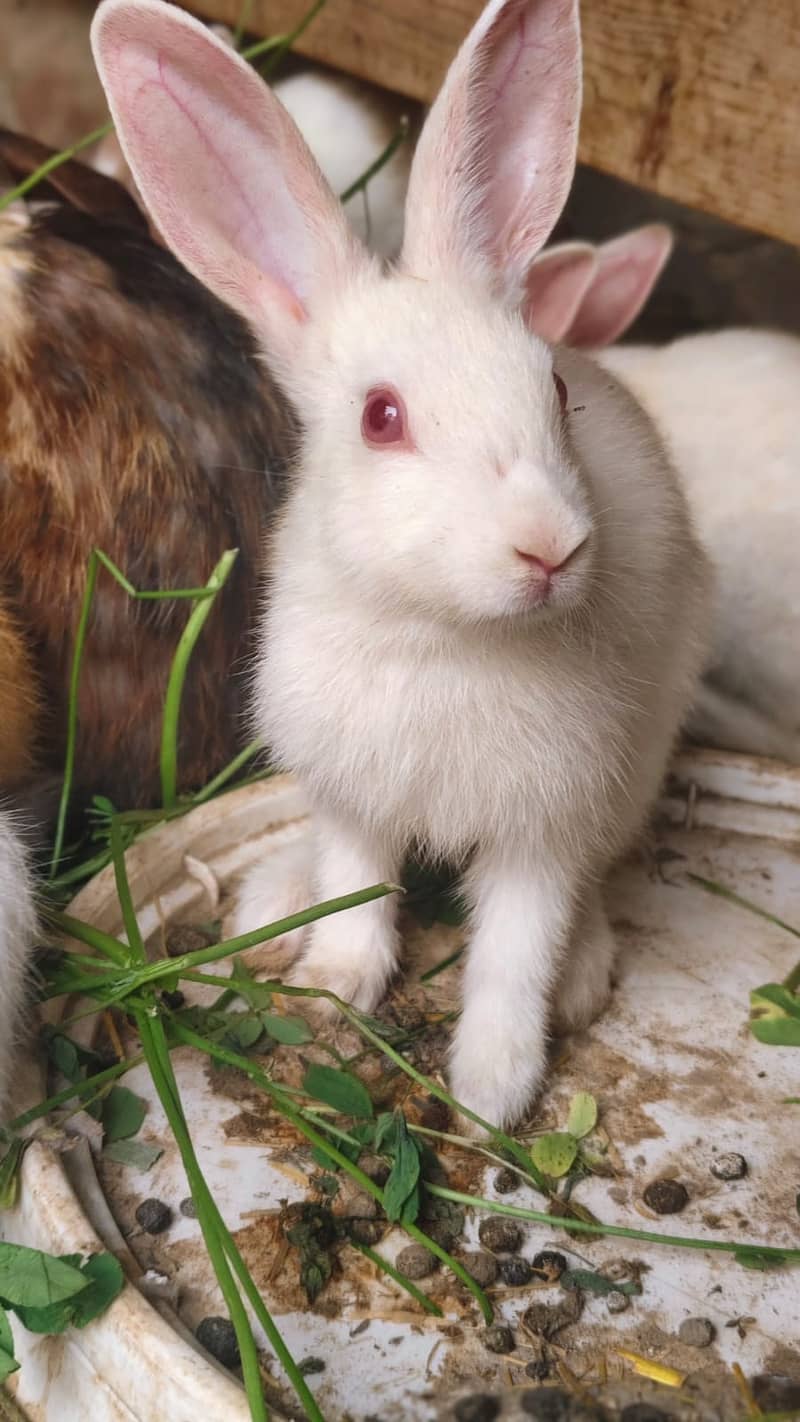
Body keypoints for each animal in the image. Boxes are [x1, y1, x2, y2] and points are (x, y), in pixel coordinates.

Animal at [93, 0, 711, 1132]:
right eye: (381, 417)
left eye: (555, 391)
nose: (550, 546)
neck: (439, 637)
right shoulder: (353, 795)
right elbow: (360, 884)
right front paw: (331, 986)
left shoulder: (540, 830)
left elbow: (513, 952)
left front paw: (491, 1092)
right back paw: (276, 899)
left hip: (640, 764)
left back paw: (585, 974)